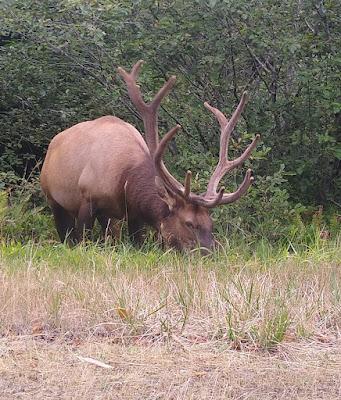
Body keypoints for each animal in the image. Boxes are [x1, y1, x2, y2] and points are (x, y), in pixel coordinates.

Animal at [39, 60, 258, 252]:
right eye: (189, 223)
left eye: (210, 223)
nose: (211, 251)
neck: (124, 179)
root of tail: (53, 143)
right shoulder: (87, 199)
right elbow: (82, 241)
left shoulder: (133, 214)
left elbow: (138, 244)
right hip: (54, 199)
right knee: (66, 235)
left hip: (107, 218)